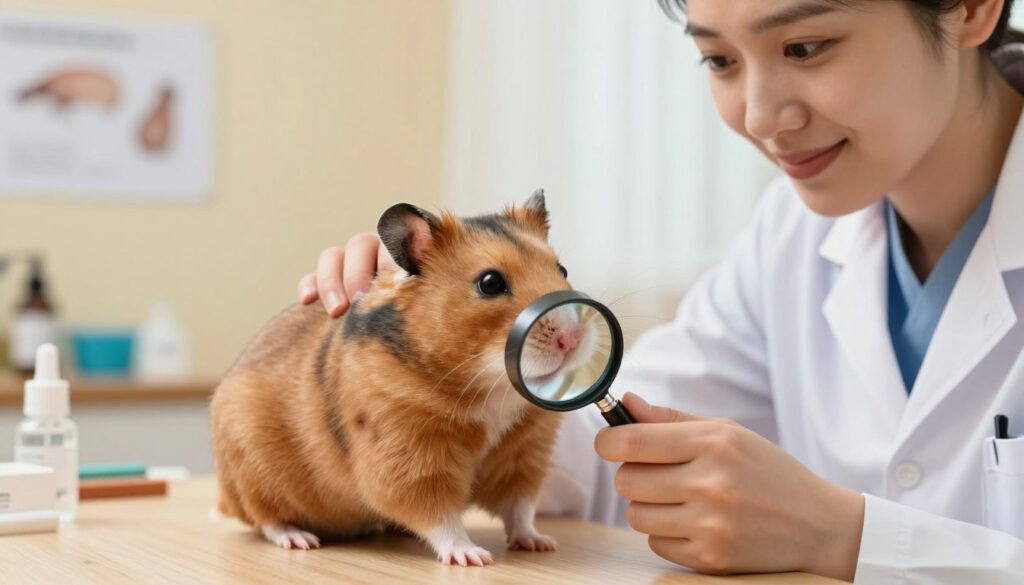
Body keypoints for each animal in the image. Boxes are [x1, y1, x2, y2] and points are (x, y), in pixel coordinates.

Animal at [210, 191, 592, 566]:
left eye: (562, 269)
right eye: (490, 283)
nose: (572, 339)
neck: (490, 384)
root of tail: (225, 497)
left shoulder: (524, 454)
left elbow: (520, 508)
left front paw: (541, 543)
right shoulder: (407, 456)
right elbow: (439, 516)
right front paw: (474, 558)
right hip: (253, 473)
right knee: (266, 518)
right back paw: (300, 540)